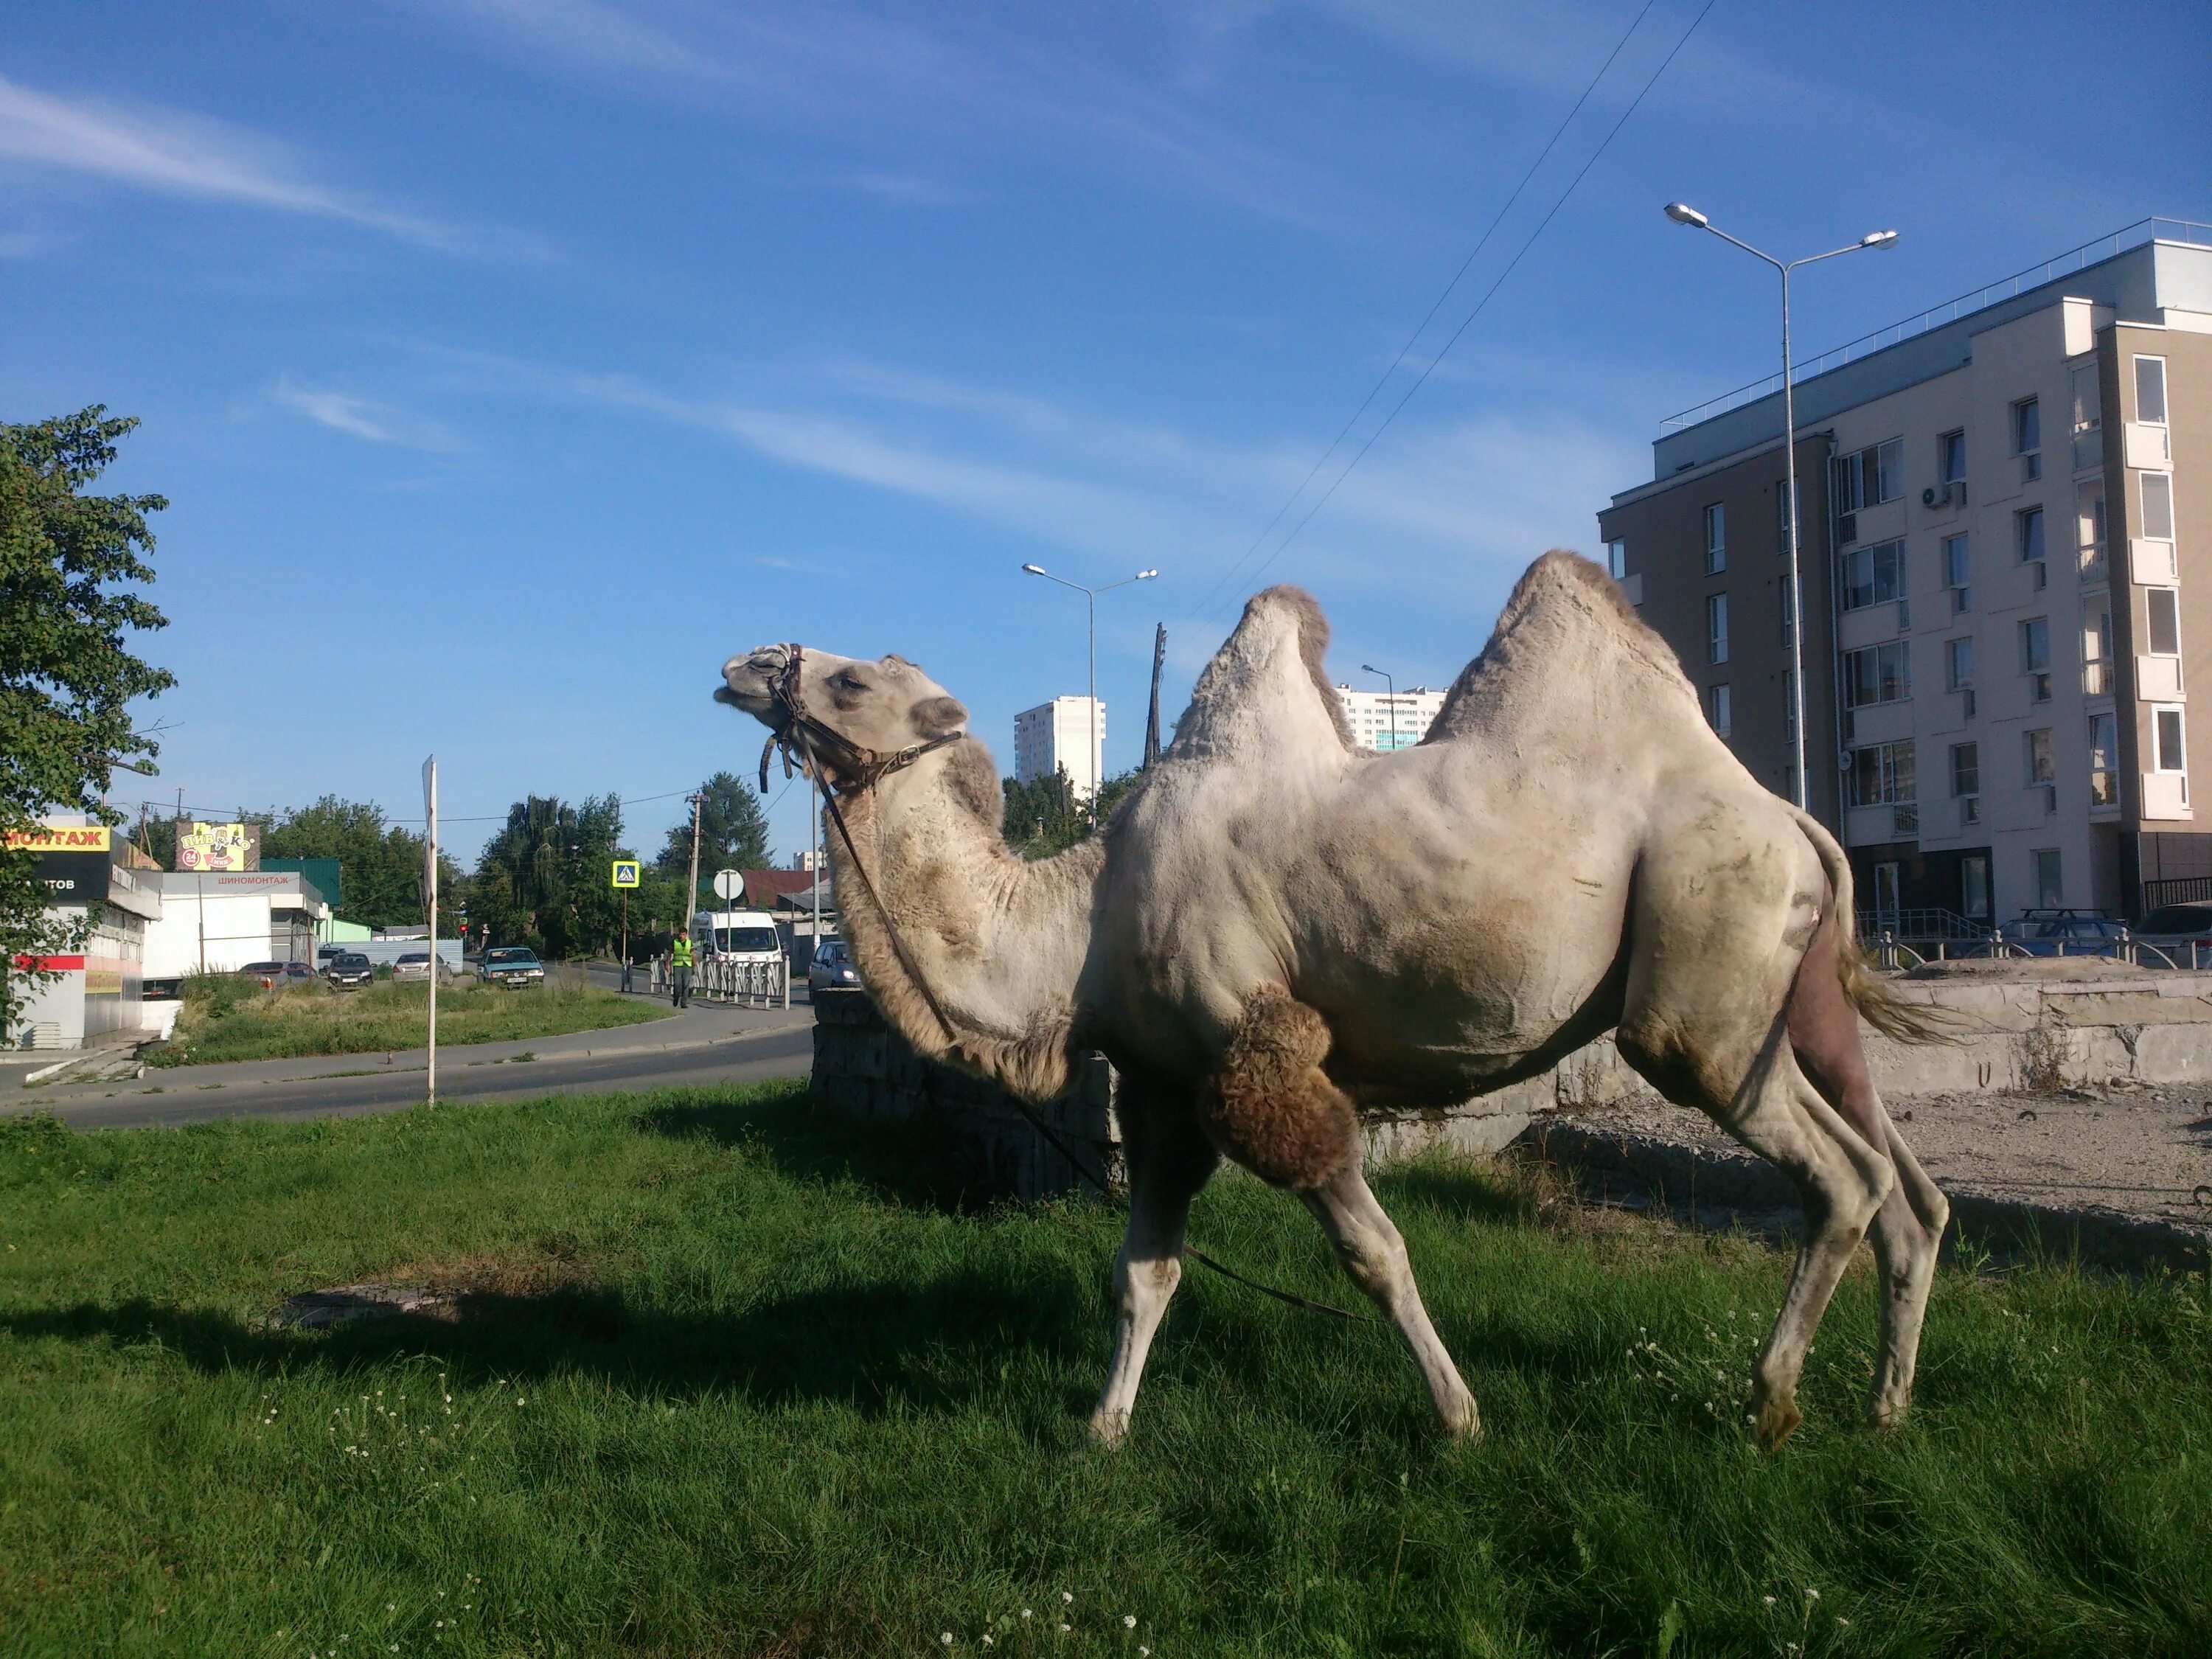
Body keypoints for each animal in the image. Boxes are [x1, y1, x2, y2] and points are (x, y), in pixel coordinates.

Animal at [717, 550, 1951, 1453]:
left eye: (852, 681)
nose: (743, 660)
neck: (1081, 928)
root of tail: (1800, 825)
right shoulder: (1164, 1083)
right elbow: (1143, 1270)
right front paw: (1103, 1428)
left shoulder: (1256, 1047)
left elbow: (1374, 1251)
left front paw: (1459, 1417)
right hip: (1788, 1001)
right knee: (1905, 1182)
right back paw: (1886, 1406)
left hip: (1700, 983)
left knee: (1839, 1172)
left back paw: (1772, 1401)